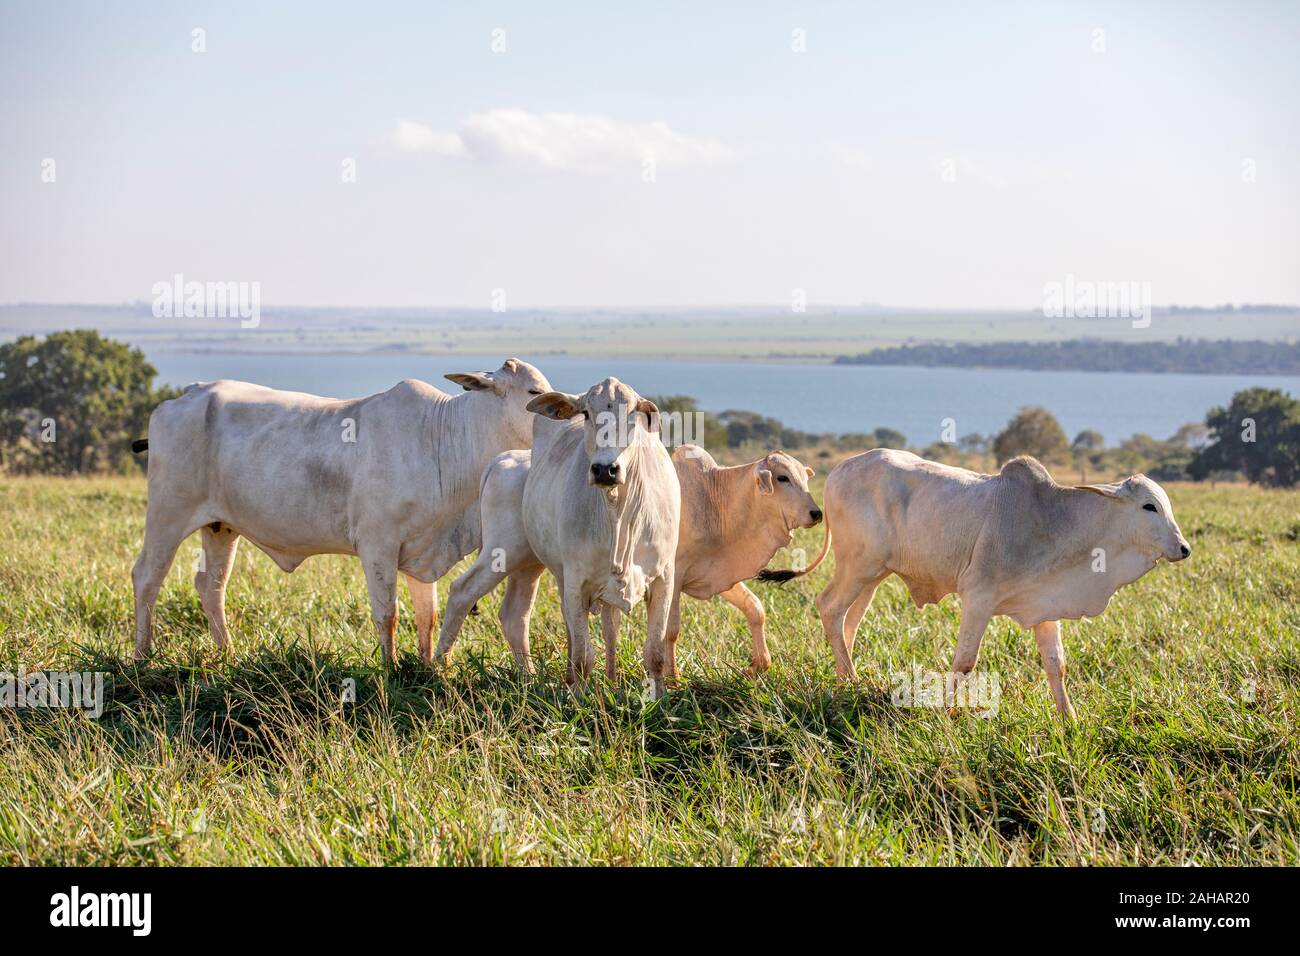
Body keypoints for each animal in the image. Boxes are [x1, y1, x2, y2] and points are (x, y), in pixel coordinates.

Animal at [131, 358, 553, 665]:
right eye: (534, 392)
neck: (444, 439)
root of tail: (188, 393)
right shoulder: (378, 545)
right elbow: (388, 615)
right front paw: (391, 670)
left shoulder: (424, 551)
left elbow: (428, 617)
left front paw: (426, 664)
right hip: (168, 514)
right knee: (147, 577)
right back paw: (142, 656)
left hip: (220, 527)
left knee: (211, 586)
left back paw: (228, 654)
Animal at [436, 447, 821, 681]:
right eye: (782, 478)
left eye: (804, 477)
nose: (816, 513)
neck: (714, 498)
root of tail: (503, 459)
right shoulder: (673, 574)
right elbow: (671, 629)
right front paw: (674, 678)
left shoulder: (714, 574)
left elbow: (756, 609)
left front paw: (760, 665)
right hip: (502, 552)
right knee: (461, 592)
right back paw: (440, 666)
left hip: (529, 564)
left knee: (515, 615)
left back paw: (528, 675)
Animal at [439, 374, 681, 686]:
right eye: (586, 413)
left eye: (631, 415)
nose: (605, 469)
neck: (618, 511)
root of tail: (501, 459)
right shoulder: (577, 579)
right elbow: (583, 657)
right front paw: (580, 694)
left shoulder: (664, 577)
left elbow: (653, 654)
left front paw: (651, 693)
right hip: (502, 551)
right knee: (462, 592)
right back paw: (436, 667)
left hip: (529, 564)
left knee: (515, 615)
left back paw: (529, 676)